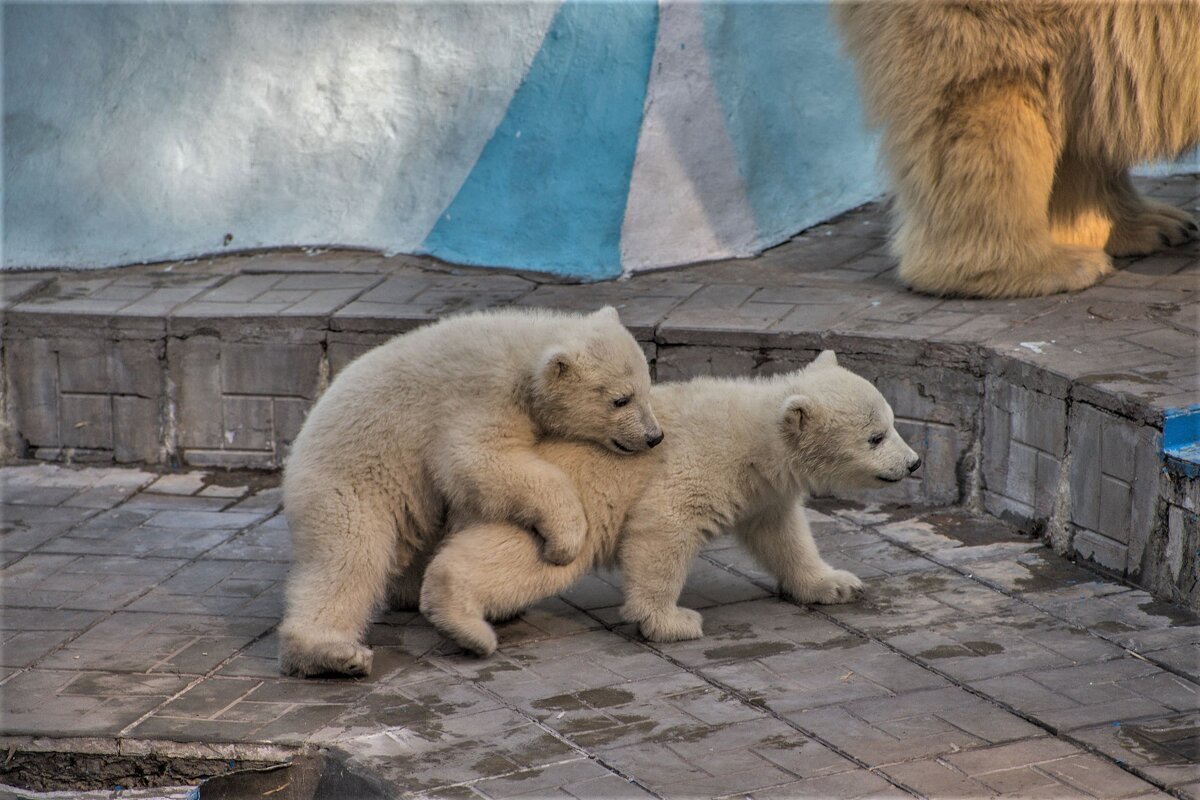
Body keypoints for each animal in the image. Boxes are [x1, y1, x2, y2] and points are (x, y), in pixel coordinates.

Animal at [277, 307, 662, 676]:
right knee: (348, 558)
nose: (654, 436)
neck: (523, 353)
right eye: (621, 399)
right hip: (349, 483)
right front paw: (565, 540)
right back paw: (334, 653)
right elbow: (480, 462)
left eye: (646, 387)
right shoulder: (481, 398)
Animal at [417, 352, 921, 657]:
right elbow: (665, 524)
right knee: (522, 558)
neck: (755, 438)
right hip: (554, 499)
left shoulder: (763, 492)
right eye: (875, 437)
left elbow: (784, 535)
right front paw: (671, 622)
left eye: (893, 422)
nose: (914, 463)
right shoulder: (705, 462)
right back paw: (464, 623)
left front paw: (835, 584)